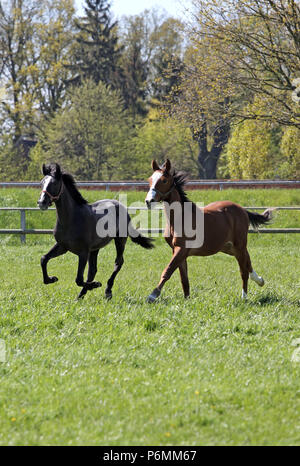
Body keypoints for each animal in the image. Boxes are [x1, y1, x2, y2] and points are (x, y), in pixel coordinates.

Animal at [37, 164, 154, 300]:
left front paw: (96, 284)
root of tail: (120, 205)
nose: (41, 202)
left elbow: (78, 279)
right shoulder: (62, 246)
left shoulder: (83, 252)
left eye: (54, 183)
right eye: (42, 183)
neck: (71, 219)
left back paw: (107, 291)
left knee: (118, 263)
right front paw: (52, 279)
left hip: (120, 240)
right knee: (93, 270)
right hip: (95, 248)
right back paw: (81, 295)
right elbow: (43, 259)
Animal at [145, 160, 272, 302]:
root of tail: (242, 210)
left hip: (239, 245)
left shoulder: (181, 249)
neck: (179, 218)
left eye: (164, 180)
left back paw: (244, 297)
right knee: (247, 262)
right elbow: (184, 278)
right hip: (229, 248)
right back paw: (260, 280)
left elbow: (168, 270)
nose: (148, 201)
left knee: (243, 270)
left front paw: (152, 295)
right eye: (150, 180)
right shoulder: (177, 250)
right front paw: (187, 299)